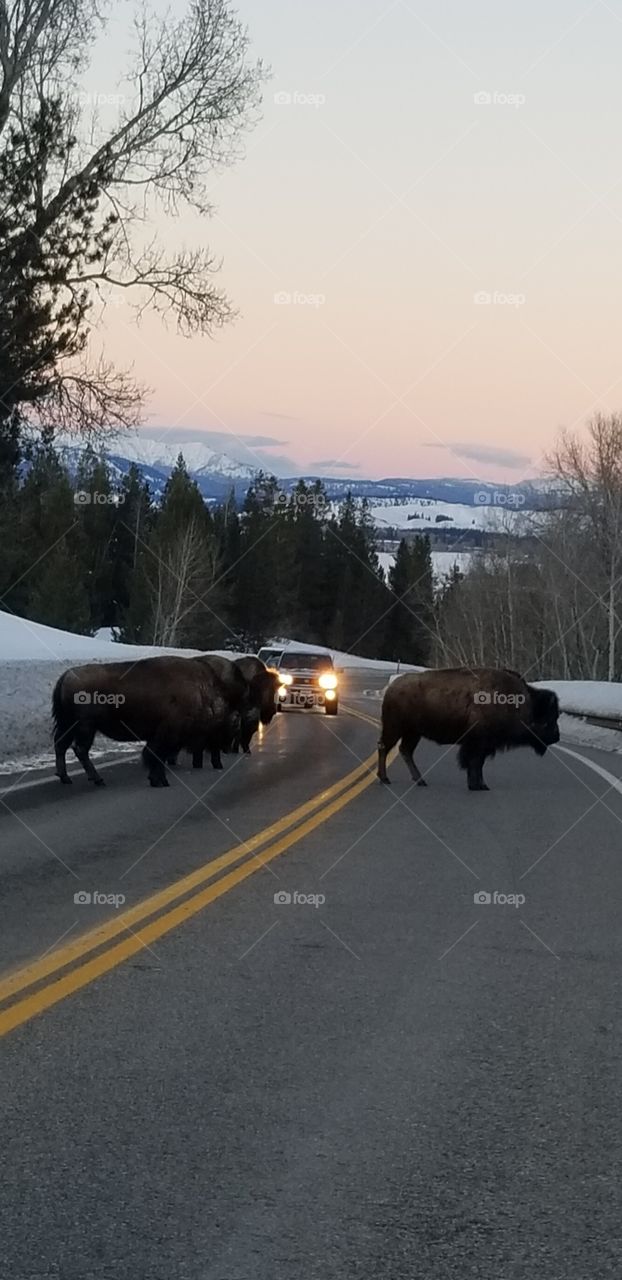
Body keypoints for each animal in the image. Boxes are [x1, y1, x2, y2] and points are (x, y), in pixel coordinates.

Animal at [52, 656, 239, 788]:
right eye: (230, 724)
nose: (227, 749)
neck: (203, 695)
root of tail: (66, 676)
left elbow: (157, 755)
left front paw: (157, 779)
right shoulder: (167, 734)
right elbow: (156, 755)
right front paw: (160, 781)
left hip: (67, 725)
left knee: (61, 745)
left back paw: (65, 778)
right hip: (86, 727)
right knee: (80, 749)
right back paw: (97, 779)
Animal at [377, 667, 560, 791]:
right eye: (549, 718)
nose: (556, 736)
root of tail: (392, 688)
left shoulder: (484, 746)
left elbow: (479, 765)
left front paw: (482, 785)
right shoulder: (477, 744)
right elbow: (474, 763)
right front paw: (476, 785)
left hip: (413, 733)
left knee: (405, 751)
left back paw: (420, 781)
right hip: (395, 728)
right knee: (385, 747)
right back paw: (385, 779)